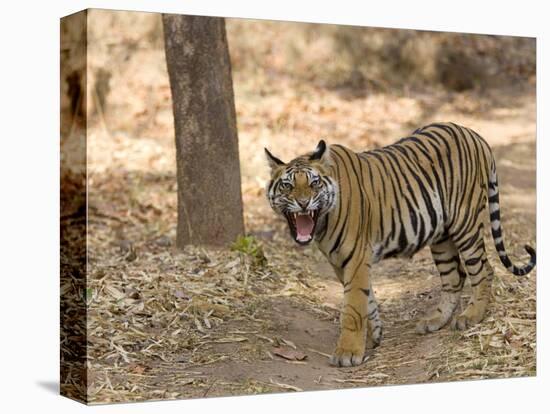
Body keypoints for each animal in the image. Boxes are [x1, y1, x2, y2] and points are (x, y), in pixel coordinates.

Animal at [266, 121, 536, 368]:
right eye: (287, 185)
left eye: (314, 183)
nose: (303, 203)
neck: (322, 222)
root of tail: (473, 134)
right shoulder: (340, 262)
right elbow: (367, 299)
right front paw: (375, 335)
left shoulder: (356, 258)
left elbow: (353, 306)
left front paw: (348, 353)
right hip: (441, 236)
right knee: (454, 276)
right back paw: (434, 321)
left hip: (465, 223)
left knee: (483, 270)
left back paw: (471, 317)